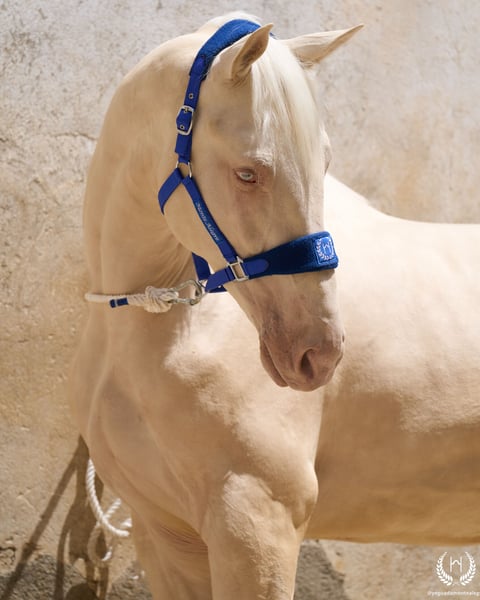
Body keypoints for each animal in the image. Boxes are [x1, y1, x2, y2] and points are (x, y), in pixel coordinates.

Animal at [69, 13, 480, 600]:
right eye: (248, 173)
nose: (319, 354)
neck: (165, 329)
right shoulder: (165, 536)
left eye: (323, 162)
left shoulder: (257, 523)